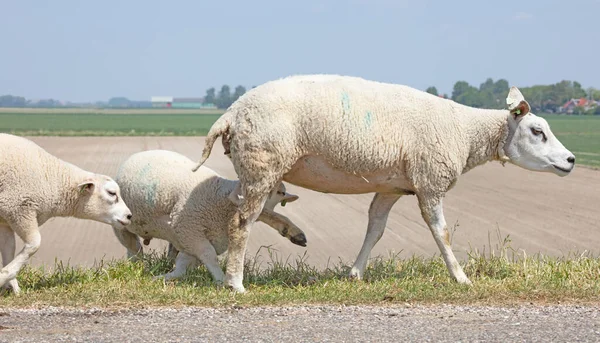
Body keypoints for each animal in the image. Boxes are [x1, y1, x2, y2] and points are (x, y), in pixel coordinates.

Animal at [0, 133, 132, 294]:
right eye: (112, 193)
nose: (129, 216)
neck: (53, 179)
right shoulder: (20, 209)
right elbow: (34, 245)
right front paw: (4, 278)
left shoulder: (6, 219)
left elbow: (8, 251)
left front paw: (12, 286)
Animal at [110, 150, 308, 282]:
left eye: (281, 193)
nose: (258, 204)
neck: (220, 199)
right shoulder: (189, 229)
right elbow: (208, 255)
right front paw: (221, 280)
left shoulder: (192, 237)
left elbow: (184, 265)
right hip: (122, 227)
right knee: (134, 250)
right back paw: (137, 267)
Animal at [193, 73, 576, 292]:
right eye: (537, 131)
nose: (572, 160)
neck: (466, 132)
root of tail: (232, 112)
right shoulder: (429, 181)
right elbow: (442, 233)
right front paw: (461, 278)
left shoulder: (391, 188)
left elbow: (375, 230)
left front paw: (355, 273)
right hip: (263, 162)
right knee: (242, 222)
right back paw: (235, 283)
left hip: (256, 168)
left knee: (245, 211)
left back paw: (292, 233)